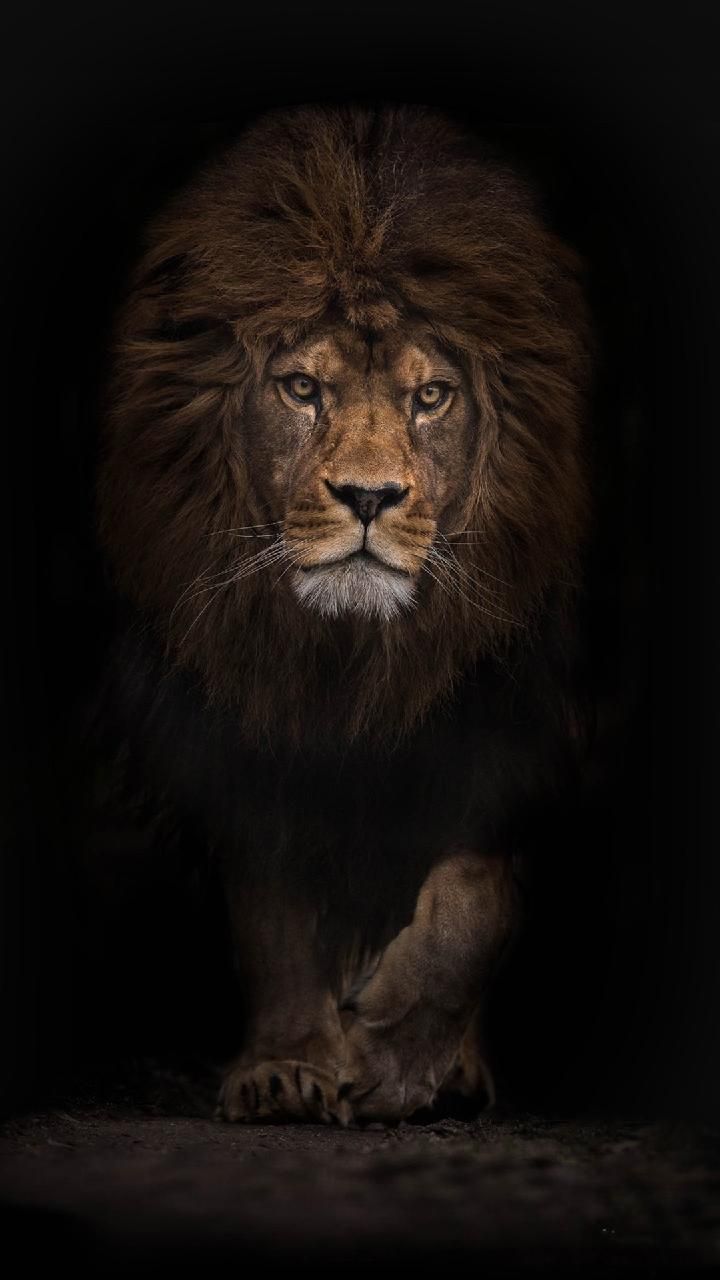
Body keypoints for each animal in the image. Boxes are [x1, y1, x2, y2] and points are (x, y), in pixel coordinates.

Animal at [94, 104, 592, 1124]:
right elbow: (274, 912)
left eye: (431, 396)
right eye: (302, 388)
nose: (368, 496)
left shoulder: (517, 719)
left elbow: (474, 896)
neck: (351, 660)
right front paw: (289, 1065)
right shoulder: (244, 727)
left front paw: (399, 1060)